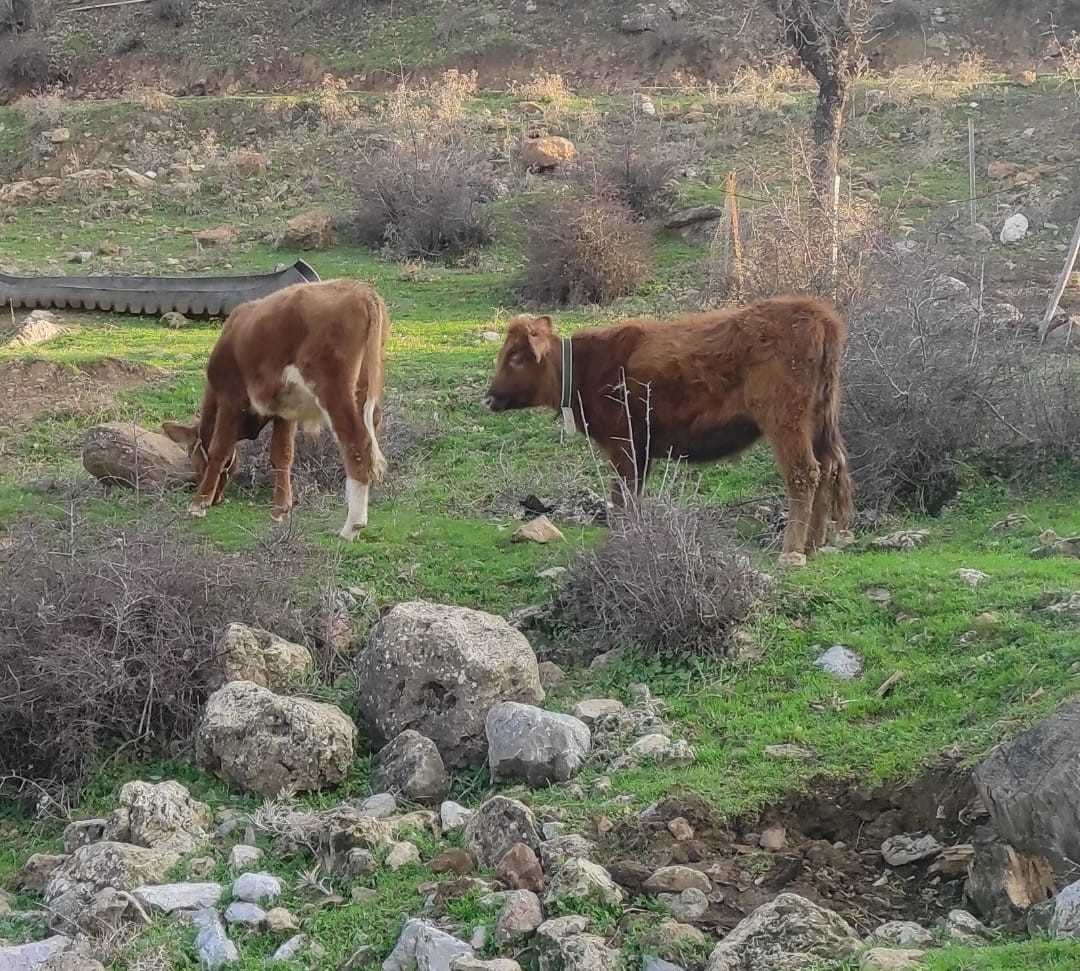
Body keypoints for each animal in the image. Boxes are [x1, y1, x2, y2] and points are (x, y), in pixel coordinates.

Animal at [162, 278, 390, 540]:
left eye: (193, 458)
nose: (217, 498)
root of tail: (361, 291)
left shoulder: (231, 397)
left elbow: (220, 449)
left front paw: (199, 504)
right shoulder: (285, 410)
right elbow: (282, 453)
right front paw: (281, 509)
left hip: (334, 389)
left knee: (356, 443)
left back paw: (352, 526)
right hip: (366, 386)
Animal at [486, 295, 855, 570]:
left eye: (515, 356)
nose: (489, 397)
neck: (587, 366)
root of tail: (818, 315)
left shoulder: (624, 446)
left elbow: (622, 498)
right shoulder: (642, 452)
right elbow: (633, 497)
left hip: (785, 422)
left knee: (804, 473)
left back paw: (792, 552)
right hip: (819, 422)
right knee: (829, 469)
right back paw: (813, 545)